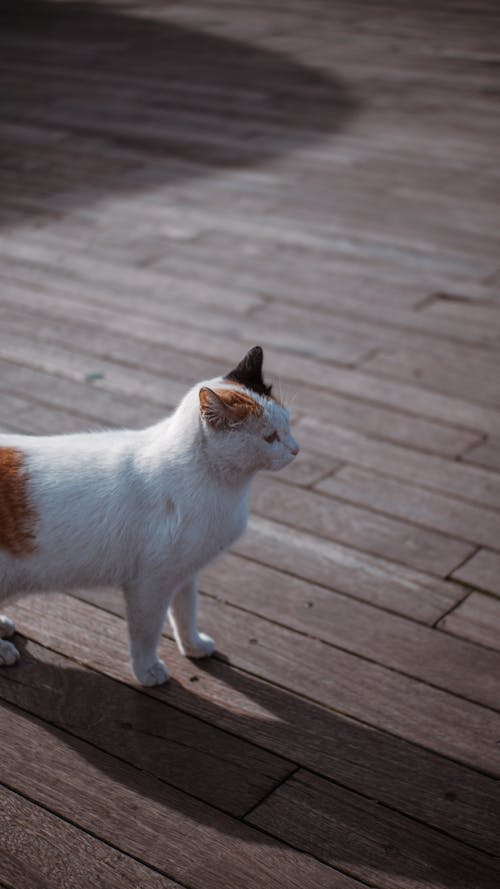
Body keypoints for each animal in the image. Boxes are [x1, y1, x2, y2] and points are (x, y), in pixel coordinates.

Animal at [0, 346, 298, 688]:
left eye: (288, 424)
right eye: (270, 437)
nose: (296, 449)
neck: (218, 483)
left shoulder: (185, 573)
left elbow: (185, 614)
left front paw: (194, 646)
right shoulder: (149, 584)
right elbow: (146, 633)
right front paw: (147, 671)